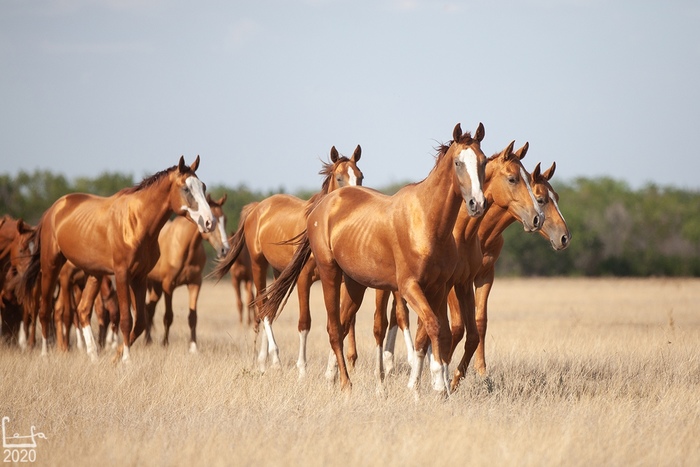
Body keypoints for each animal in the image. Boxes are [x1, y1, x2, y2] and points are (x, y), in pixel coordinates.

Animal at [20, 157, 215, 362]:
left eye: (203, 186)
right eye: (186, 189)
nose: (210, 222)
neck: (136, 222)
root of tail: (52, 209)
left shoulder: (139, 277)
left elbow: (140, 322)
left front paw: (116, 357)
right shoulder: (122, 275)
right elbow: (126, 320)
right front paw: (126, 360)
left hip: (94, 275)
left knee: (83, 310)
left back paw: (93, 356)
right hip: (51, 266)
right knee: (45, 310)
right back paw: (45, 354)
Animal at [141, 193, 231, 352]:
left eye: (224, 219)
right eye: (212, 221)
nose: (224, 250)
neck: (185, 246)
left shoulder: (195, 284)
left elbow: (193, 317)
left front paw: (193, 347)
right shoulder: (168, 285)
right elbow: (168, 316)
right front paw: (165, 344)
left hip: (156, 287)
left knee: (149, 308)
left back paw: (148, 340)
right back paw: (147, 340)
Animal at [211, 146, 364, 376]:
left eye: (360, 177)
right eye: (339, 178)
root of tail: (257, 207)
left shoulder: (344, 280)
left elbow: (347, 320)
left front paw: (342, 366)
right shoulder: (303, 279)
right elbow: (304, 322)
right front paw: (302, 370)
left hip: (278, 272)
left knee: (270, 308)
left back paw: (264, 361)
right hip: (258, 265)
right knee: (263, 307)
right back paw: (273, 359)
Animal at [260, 121, 490, 394]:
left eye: (483, 161)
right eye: (458, 162)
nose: (477, 204)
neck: (428, 222)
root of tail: (321, 206)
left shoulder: (438, 288)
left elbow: (431, 334)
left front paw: (430, 386)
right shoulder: (409, 287)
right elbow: (434, 328)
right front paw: (432, 386)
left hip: (354, 284)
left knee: (344, 323)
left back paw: (333, 377)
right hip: (329, 274)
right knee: (334, 328)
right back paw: (345, 384)